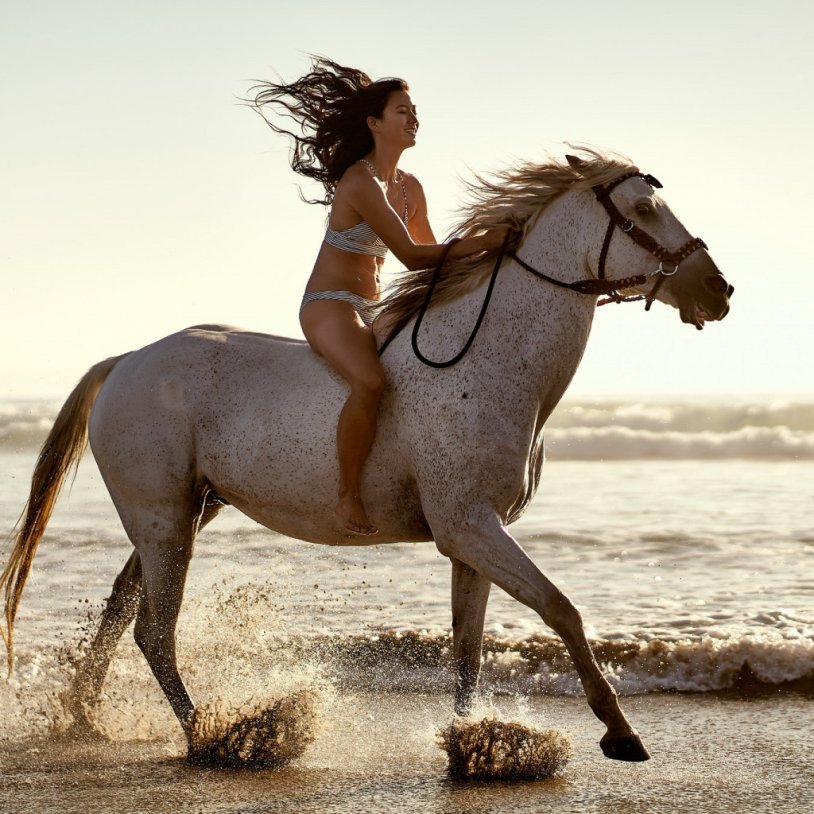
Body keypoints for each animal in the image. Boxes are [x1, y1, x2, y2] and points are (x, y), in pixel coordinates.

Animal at [1, 150, 733, 763]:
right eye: (644, 210)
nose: (717, 289)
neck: (492, 363)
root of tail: (126, 360)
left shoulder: (472, 535)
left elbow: (468, 648)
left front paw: (470, 742)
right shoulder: (471, 526)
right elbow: (562, 610)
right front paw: (621, 732)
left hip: (185, 512)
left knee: (121, 608)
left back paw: (86, 718)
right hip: (162, 521)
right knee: (154, 631)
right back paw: (217, 735)